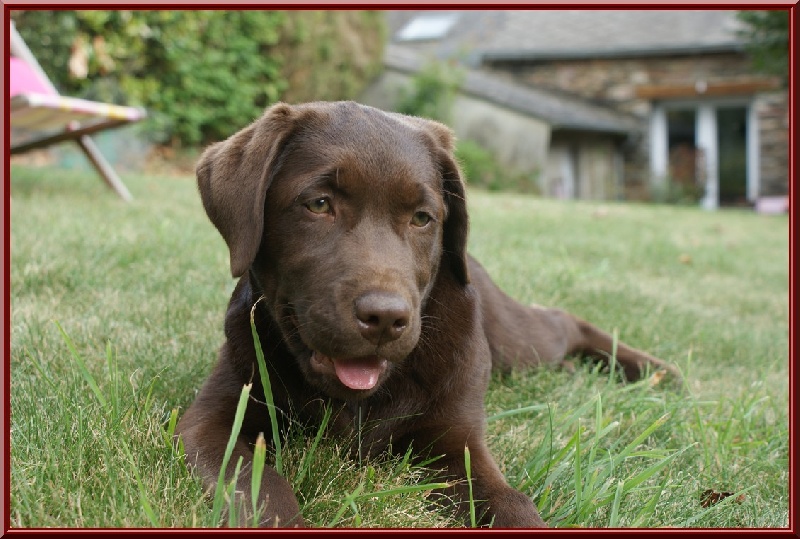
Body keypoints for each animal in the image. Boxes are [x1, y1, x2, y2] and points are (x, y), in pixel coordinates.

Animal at [176, 101, 680, 528]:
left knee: (565, 321)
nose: (385, 319)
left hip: (518, 342)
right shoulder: (211, 421)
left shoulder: (457, 439)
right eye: (318, 204)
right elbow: (259, 487)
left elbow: (510, 501)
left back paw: (659, 372)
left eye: (422, 218)